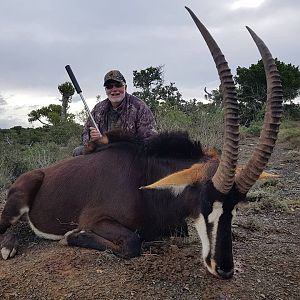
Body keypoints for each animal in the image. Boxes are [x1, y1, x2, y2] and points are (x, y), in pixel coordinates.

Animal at [0, 7, 282, 278]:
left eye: (236, 206)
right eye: (204, 200)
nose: (223, 268)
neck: (145, 178)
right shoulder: (95, 220)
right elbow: (132, 243)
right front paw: (71, 236)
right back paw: (8, 246)